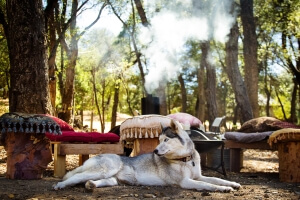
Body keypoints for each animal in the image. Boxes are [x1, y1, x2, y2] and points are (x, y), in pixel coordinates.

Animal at [53, 119, 241, 191]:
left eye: (166, 140)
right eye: (159, 140)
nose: (155, 151)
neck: (186, 160)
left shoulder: (198, 176)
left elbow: (215, 179)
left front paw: (232, 184)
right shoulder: (186, 182)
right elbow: (208, 185)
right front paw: (223, 189)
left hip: (111, 178)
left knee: (91, 180)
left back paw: (91, 185)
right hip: (105, 169)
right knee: (74, 177)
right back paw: (60, 185)